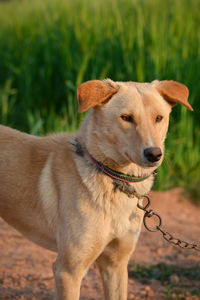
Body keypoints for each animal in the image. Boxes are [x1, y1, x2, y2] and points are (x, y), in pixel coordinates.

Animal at [0, 79, 194, 300]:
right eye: (126, 118)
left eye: (159, 118)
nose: (154, 154)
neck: (113, 180)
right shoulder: (68, 270)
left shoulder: (115, 265)